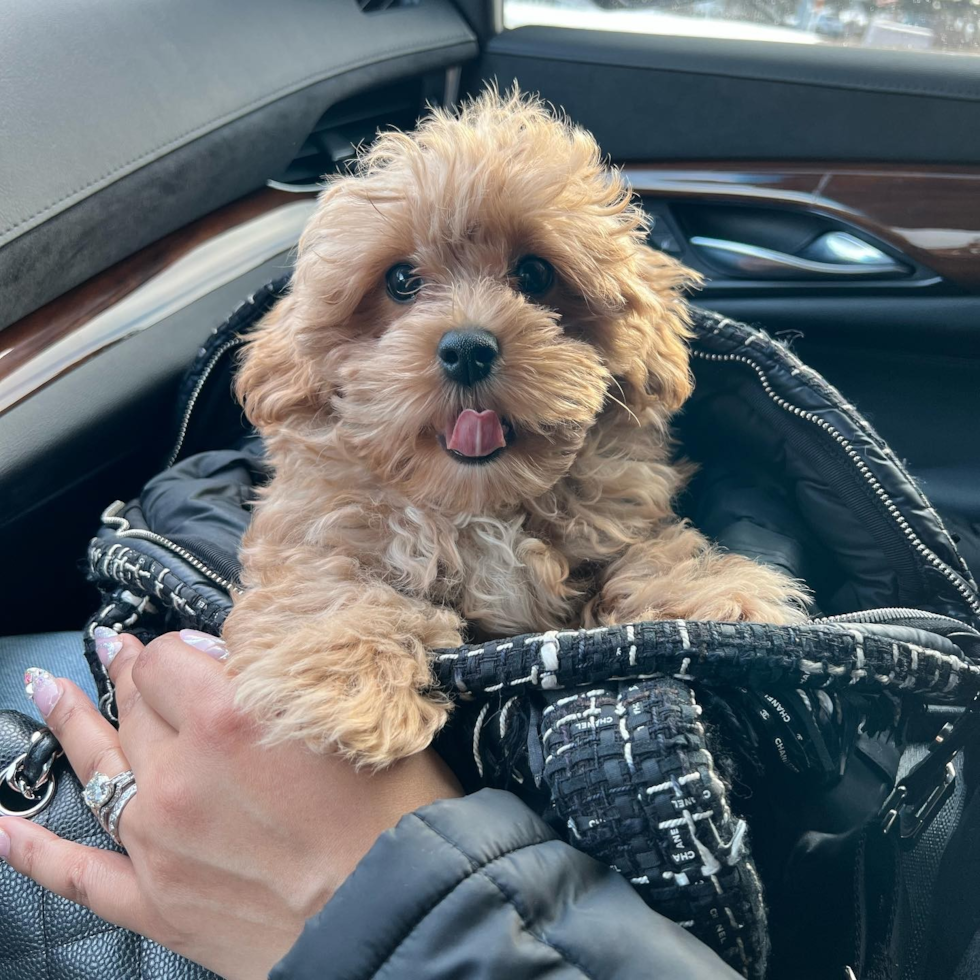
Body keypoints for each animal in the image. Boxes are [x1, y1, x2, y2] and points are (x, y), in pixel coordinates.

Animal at [226, 90, 808, 764]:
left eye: (534, 274)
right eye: (400, 280)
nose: (467, 348)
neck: (483, 506)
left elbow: (642, 556)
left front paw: (712, 598)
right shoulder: (318, 527)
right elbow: (331, 586)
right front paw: (354, 680)